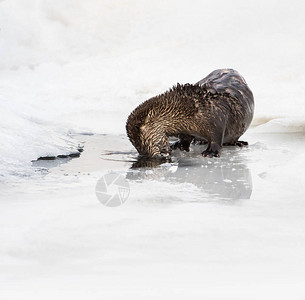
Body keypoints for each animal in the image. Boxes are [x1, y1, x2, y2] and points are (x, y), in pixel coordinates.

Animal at [124, 67, 253, 157]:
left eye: (143, 142)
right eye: (137, 146)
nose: (149, 156)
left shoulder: (218, 118)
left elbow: (216, 139)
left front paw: (210, 152)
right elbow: (185, 137)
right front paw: (179, 145)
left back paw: (239, 142)